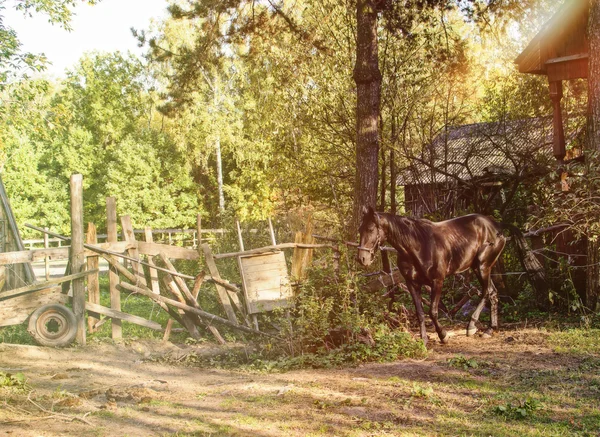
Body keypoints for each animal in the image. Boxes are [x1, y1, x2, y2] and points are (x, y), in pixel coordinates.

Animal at [356, 206, 506, 346]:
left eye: (370, 229)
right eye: (360, 229)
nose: (362, 259)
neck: (418, 246)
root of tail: (496, 227)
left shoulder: (437, 281)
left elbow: (432, 312)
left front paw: (443, 335)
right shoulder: (412, 284)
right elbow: (420, 313)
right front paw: (424, 340)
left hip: (482, 267)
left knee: (486, 292)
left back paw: (471, 326)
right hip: (479, 268)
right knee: (493, 293)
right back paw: (490, 330)